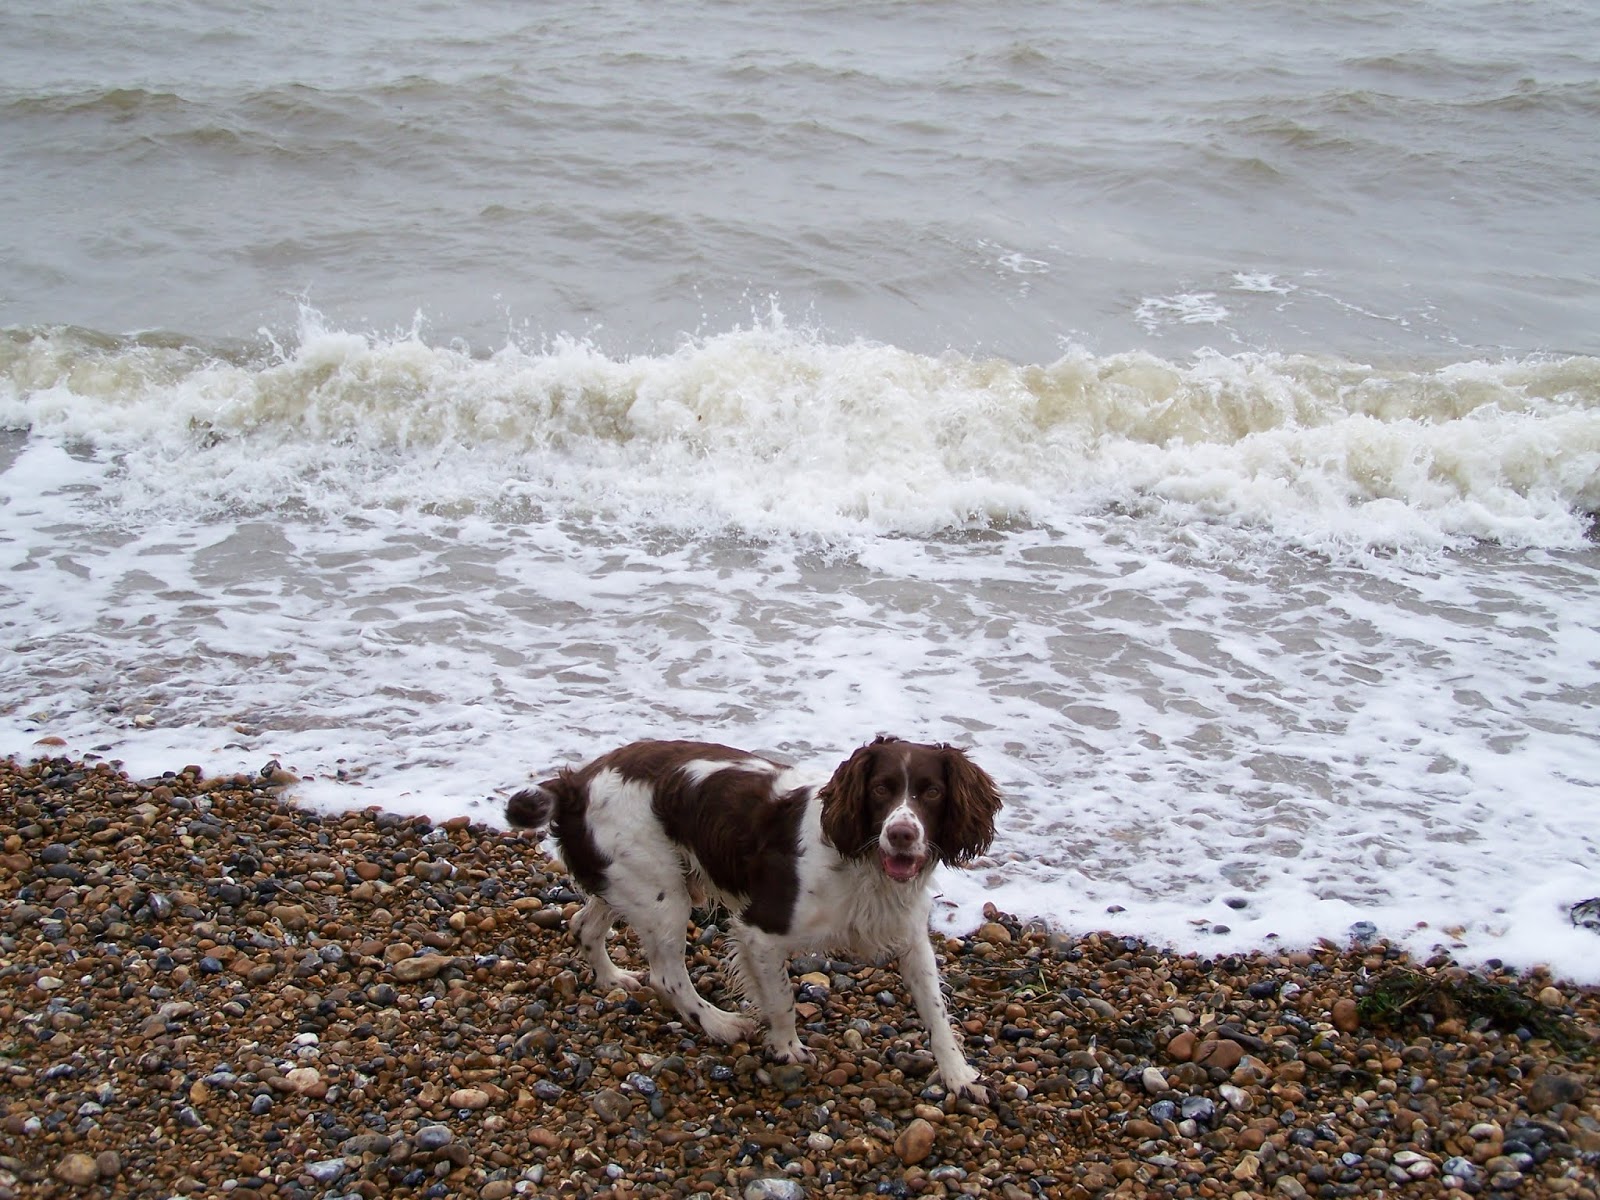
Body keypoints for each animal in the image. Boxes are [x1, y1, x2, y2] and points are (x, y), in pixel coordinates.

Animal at [505, 735, 1002, 1100]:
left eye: (932, 791)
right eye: (881, 788)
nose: (901, 834)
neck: (861, 861)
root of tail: (578, 781)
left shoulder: (910, 936)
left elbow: (936, 1011)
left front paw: (958, 1075)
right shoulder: (761, 930)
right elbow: (781, 999)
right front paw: (787, 1048)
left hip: (629, 879)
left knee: (584, 925)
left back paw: (612, 978)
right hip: (664, 895)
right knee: (666, 976)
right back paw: (719, 1024)